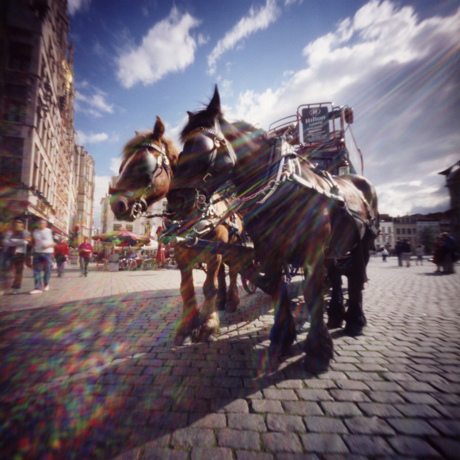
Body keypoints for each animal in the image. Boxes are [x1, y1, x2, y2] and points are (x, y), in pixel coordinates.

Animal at [108, 117, 244, 344]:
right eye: (121, 167)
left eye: (143, 164)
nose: (116, 205)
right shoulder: (181, 255)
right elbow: (186, 288)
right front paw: (187, 326)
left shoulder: (213, 253)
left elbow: (209, 287)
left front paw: (208, 325)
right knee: (223, 276)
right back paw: (222, 302)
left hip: (232, 252)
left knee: (233, 273)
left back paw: (232, 302)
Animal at [167, 87, 380, 374]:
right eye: (182, 150)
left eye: (202, 146)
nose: (174, 202)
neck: (281, 184)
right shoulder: (269, 250)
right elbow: (278, 289)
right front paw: (282, 338)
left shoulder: (313, 248)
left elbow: (312, 292)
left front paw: (318, 351)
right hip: (336, 247)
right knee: (336, 276)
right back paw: (336, 314)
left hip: (362, 243)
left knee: (355, 276)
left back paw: (355, 319)